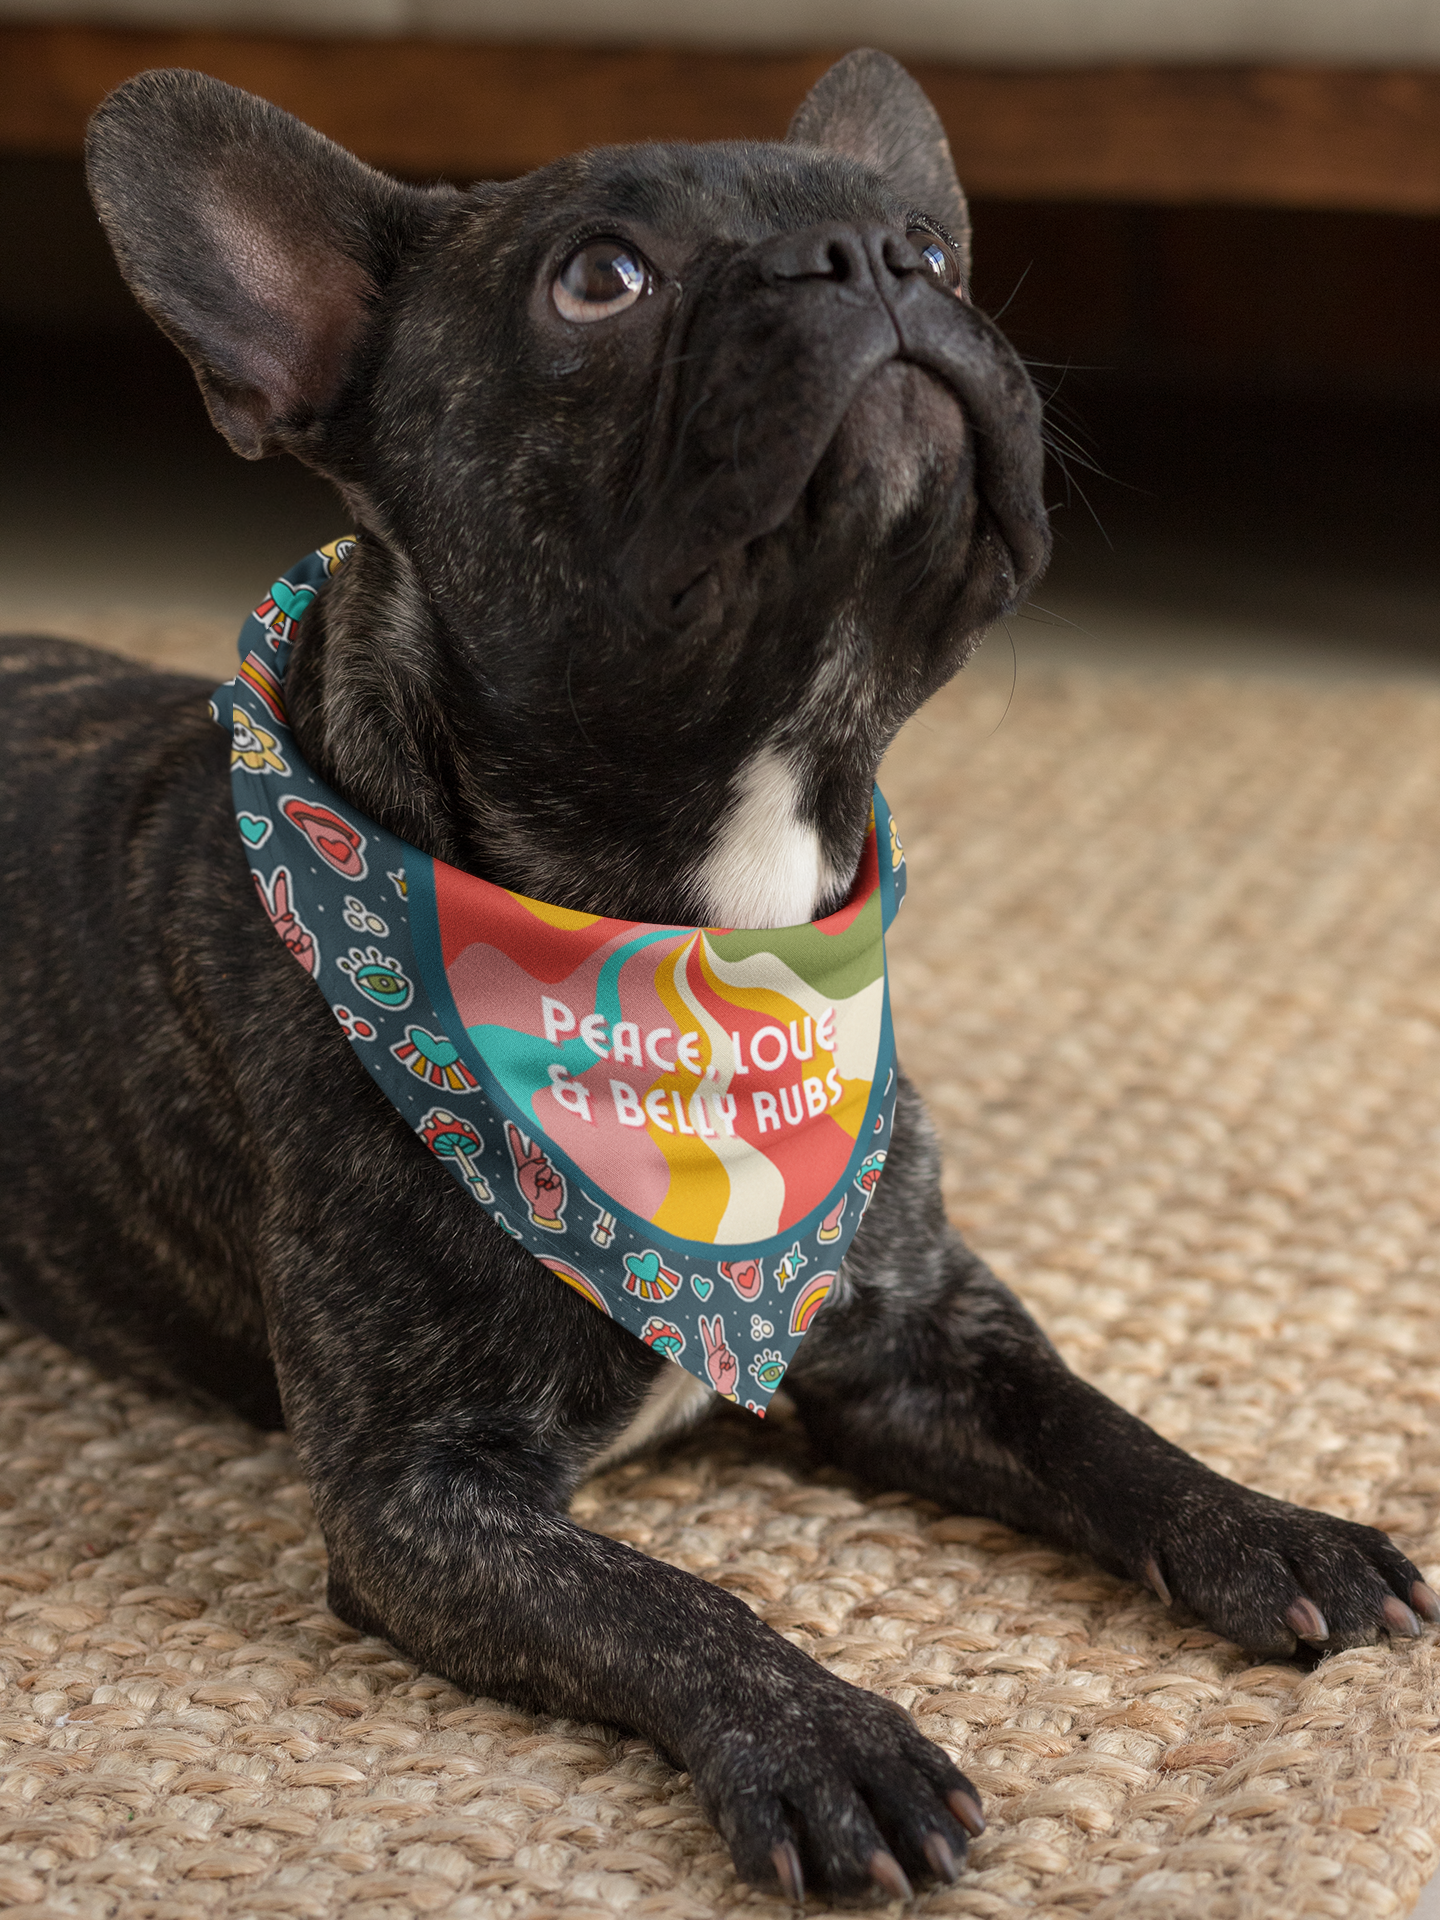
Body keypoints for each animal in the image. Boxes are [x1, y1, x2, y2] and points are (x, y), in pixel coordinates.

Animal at [0, 48, 1436, 1904]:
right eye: (600, 279)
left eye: (932, 247)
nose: (875, 260)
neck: (702, 928)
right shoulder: (423, 1501)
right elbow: (666, 1602)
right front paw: (826, 1742)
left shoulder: (922, 1331)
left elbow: (1096, 1424)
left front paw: (1272, 1524)